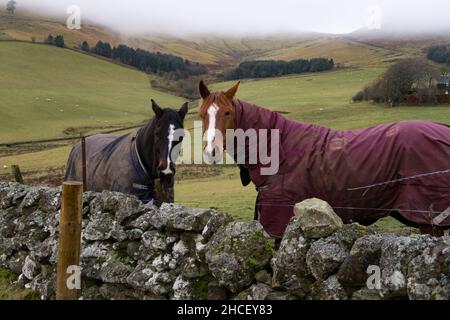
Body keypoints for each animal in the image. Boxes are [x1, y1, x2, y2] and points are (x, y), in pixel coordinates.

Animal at [198, 81, 450, 239]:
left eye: (228, 113)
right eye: (201, 114)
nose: (211, 151)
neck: (278, 147)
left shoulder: (278, 220)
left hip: (429, 219)